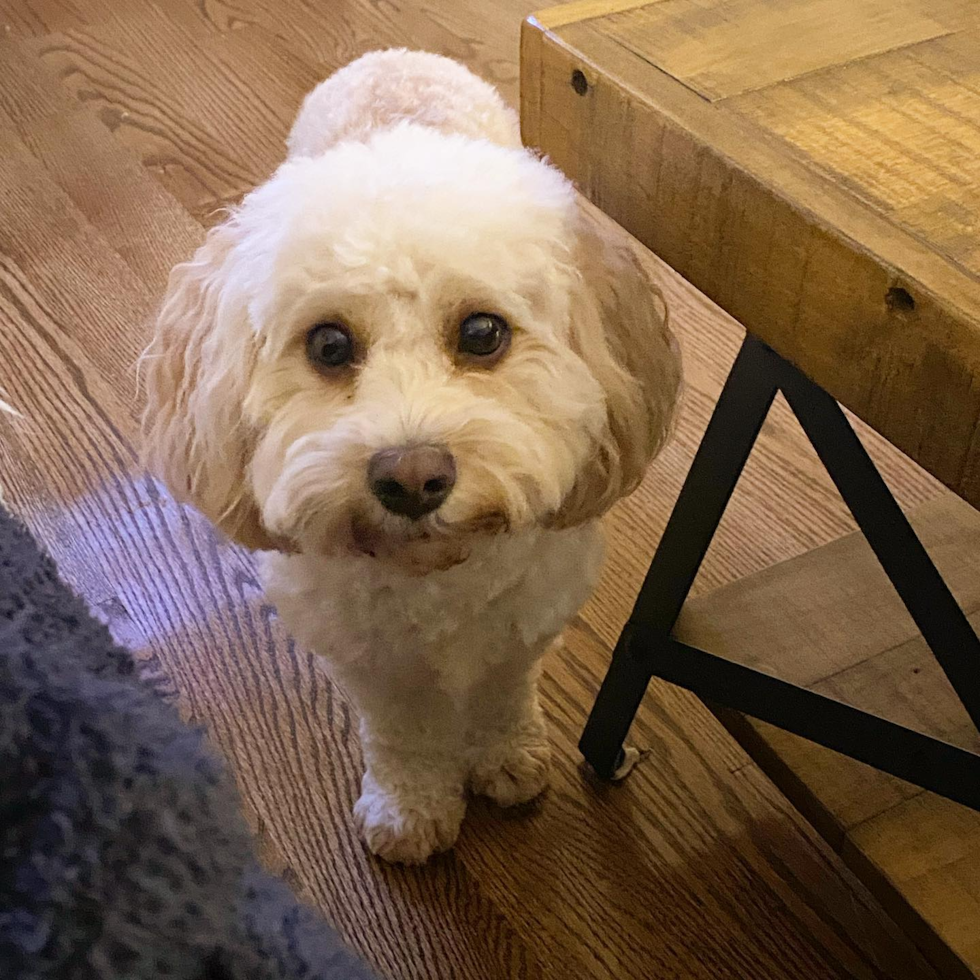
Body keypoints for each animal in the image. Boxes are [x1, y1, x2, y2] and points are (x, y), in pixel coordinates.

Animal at [144, 49, 680, 864]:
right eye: (329, 345)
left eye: (483, 332)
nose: (412, 477)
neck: (435, 576)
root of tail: (393, 59)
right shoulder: (370, 662)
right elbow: (401, 736)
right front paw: (410, 809)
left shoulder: (523, 628)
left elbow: (500, 699)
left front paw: (508, 759)